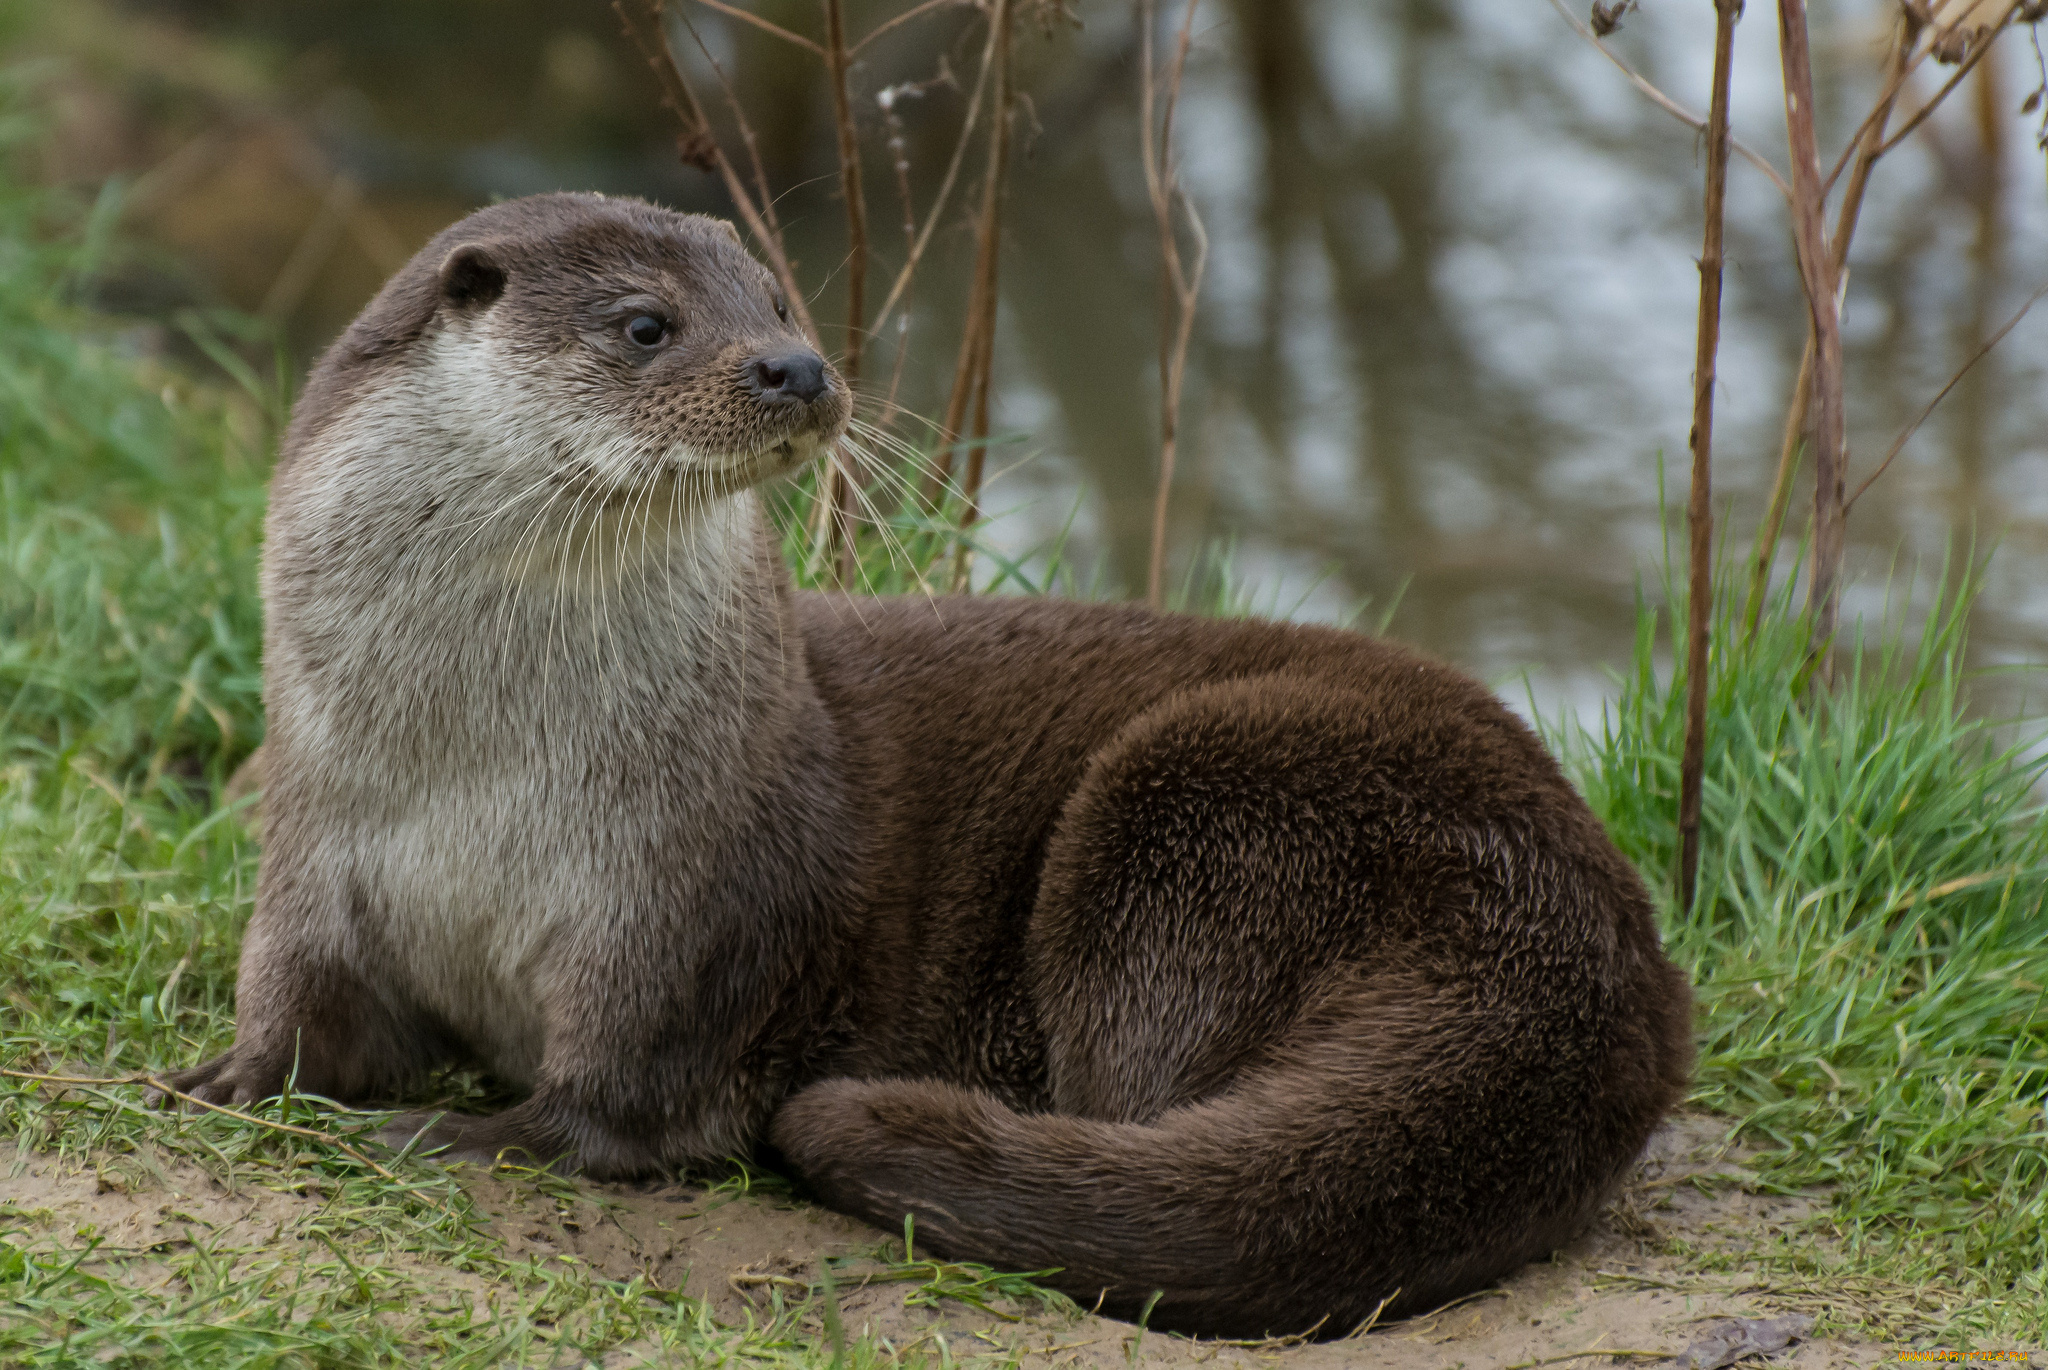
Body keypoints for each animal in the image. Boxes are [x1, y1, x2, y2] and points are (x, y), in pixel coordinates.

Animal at [163, 192, 1695, 1335]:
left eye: (780, 304)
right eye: (647, 323)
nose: (796, 368)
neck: (483, 770)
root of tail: (1600, 955)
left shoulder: (686, 893)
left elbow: (619, 1091)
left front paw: (472, 1135)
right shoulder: (320, 839)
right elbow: (299, 997)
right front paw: (221, 1077)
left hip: (1204, 806)